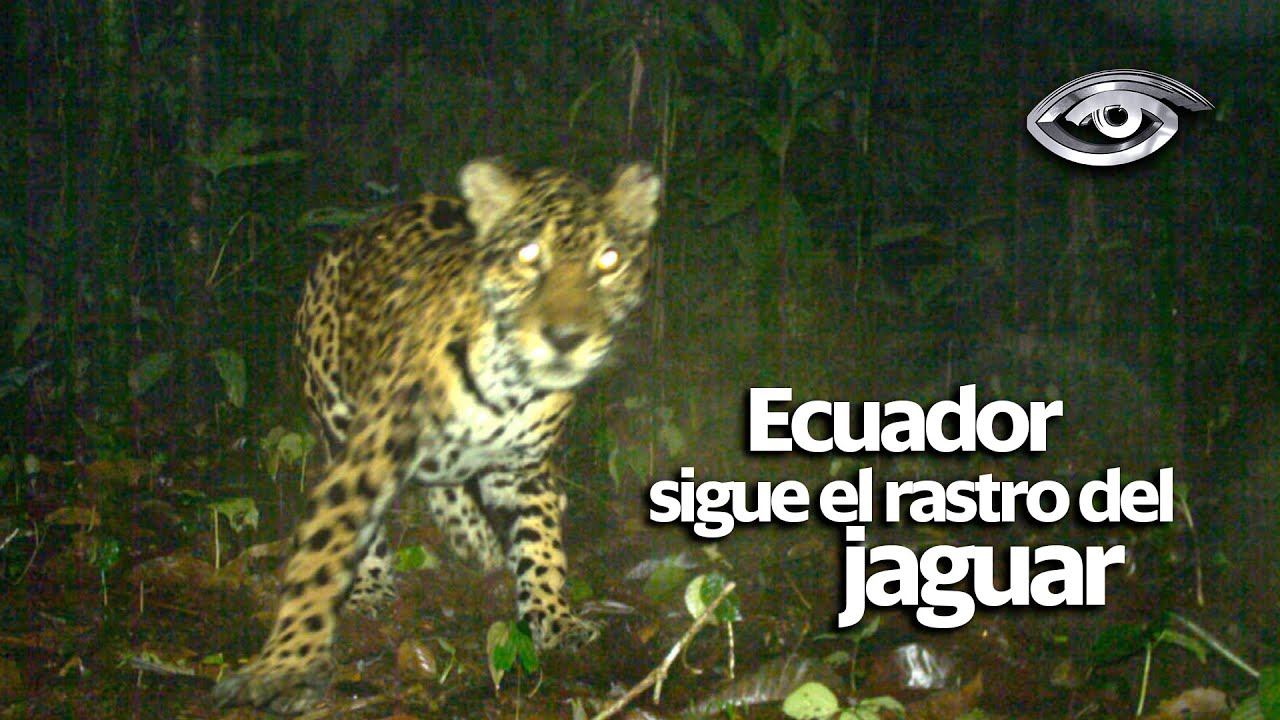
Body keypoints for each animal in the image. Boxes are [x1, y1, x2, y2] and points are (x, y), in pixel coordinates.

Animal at [212, 158, 661, 714]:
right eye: (528, 255)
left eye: (609, 260)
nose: (565, 338)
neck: (511, 385)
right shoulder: (372, 449)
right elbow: (323, 553)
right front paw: (286, 666)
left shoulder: (525, 468)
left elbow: (542, 545)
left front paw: (554, 618)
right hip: (335, 415)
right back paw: (375, 584)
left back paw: (480, 545)